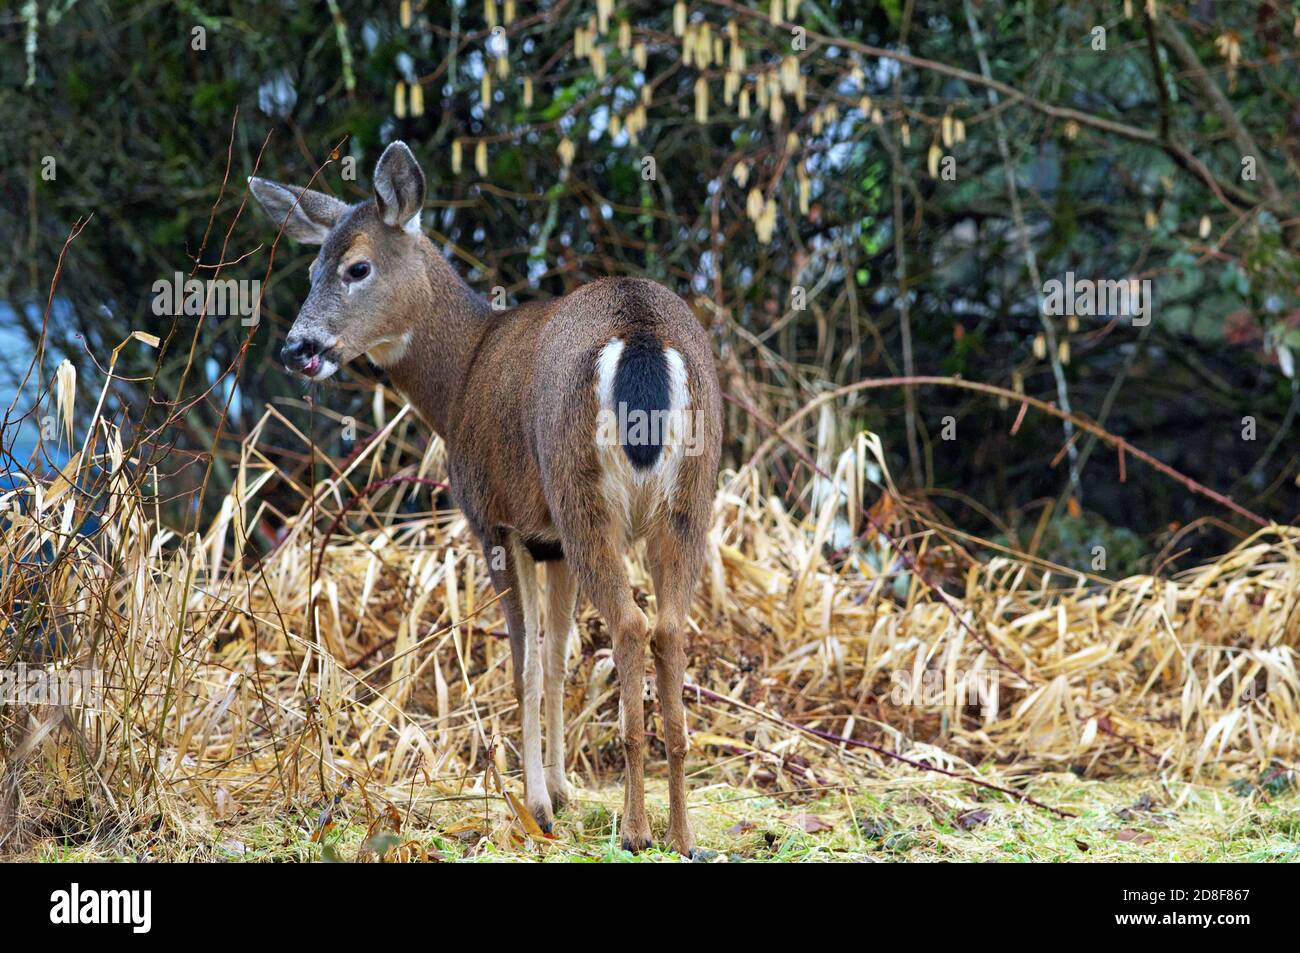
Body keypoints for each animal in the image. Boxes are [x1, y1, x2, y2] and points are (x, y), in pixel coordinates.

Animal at [250, 141, 721, 855]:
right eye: (311, 267)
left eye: (357, 266)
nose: (298, 347)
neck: (460, 377)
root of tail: (641, 333)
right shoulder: (549, 539)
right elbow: (556, 659)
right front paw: (563, 790)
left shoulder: (495, 520)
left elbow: (524, 660)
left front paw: (538, 808)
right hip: (687, 498)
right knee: (668, 625)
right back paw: (682, 832)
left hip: (580, 491)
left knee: (632, 624)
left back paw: (638, 831)